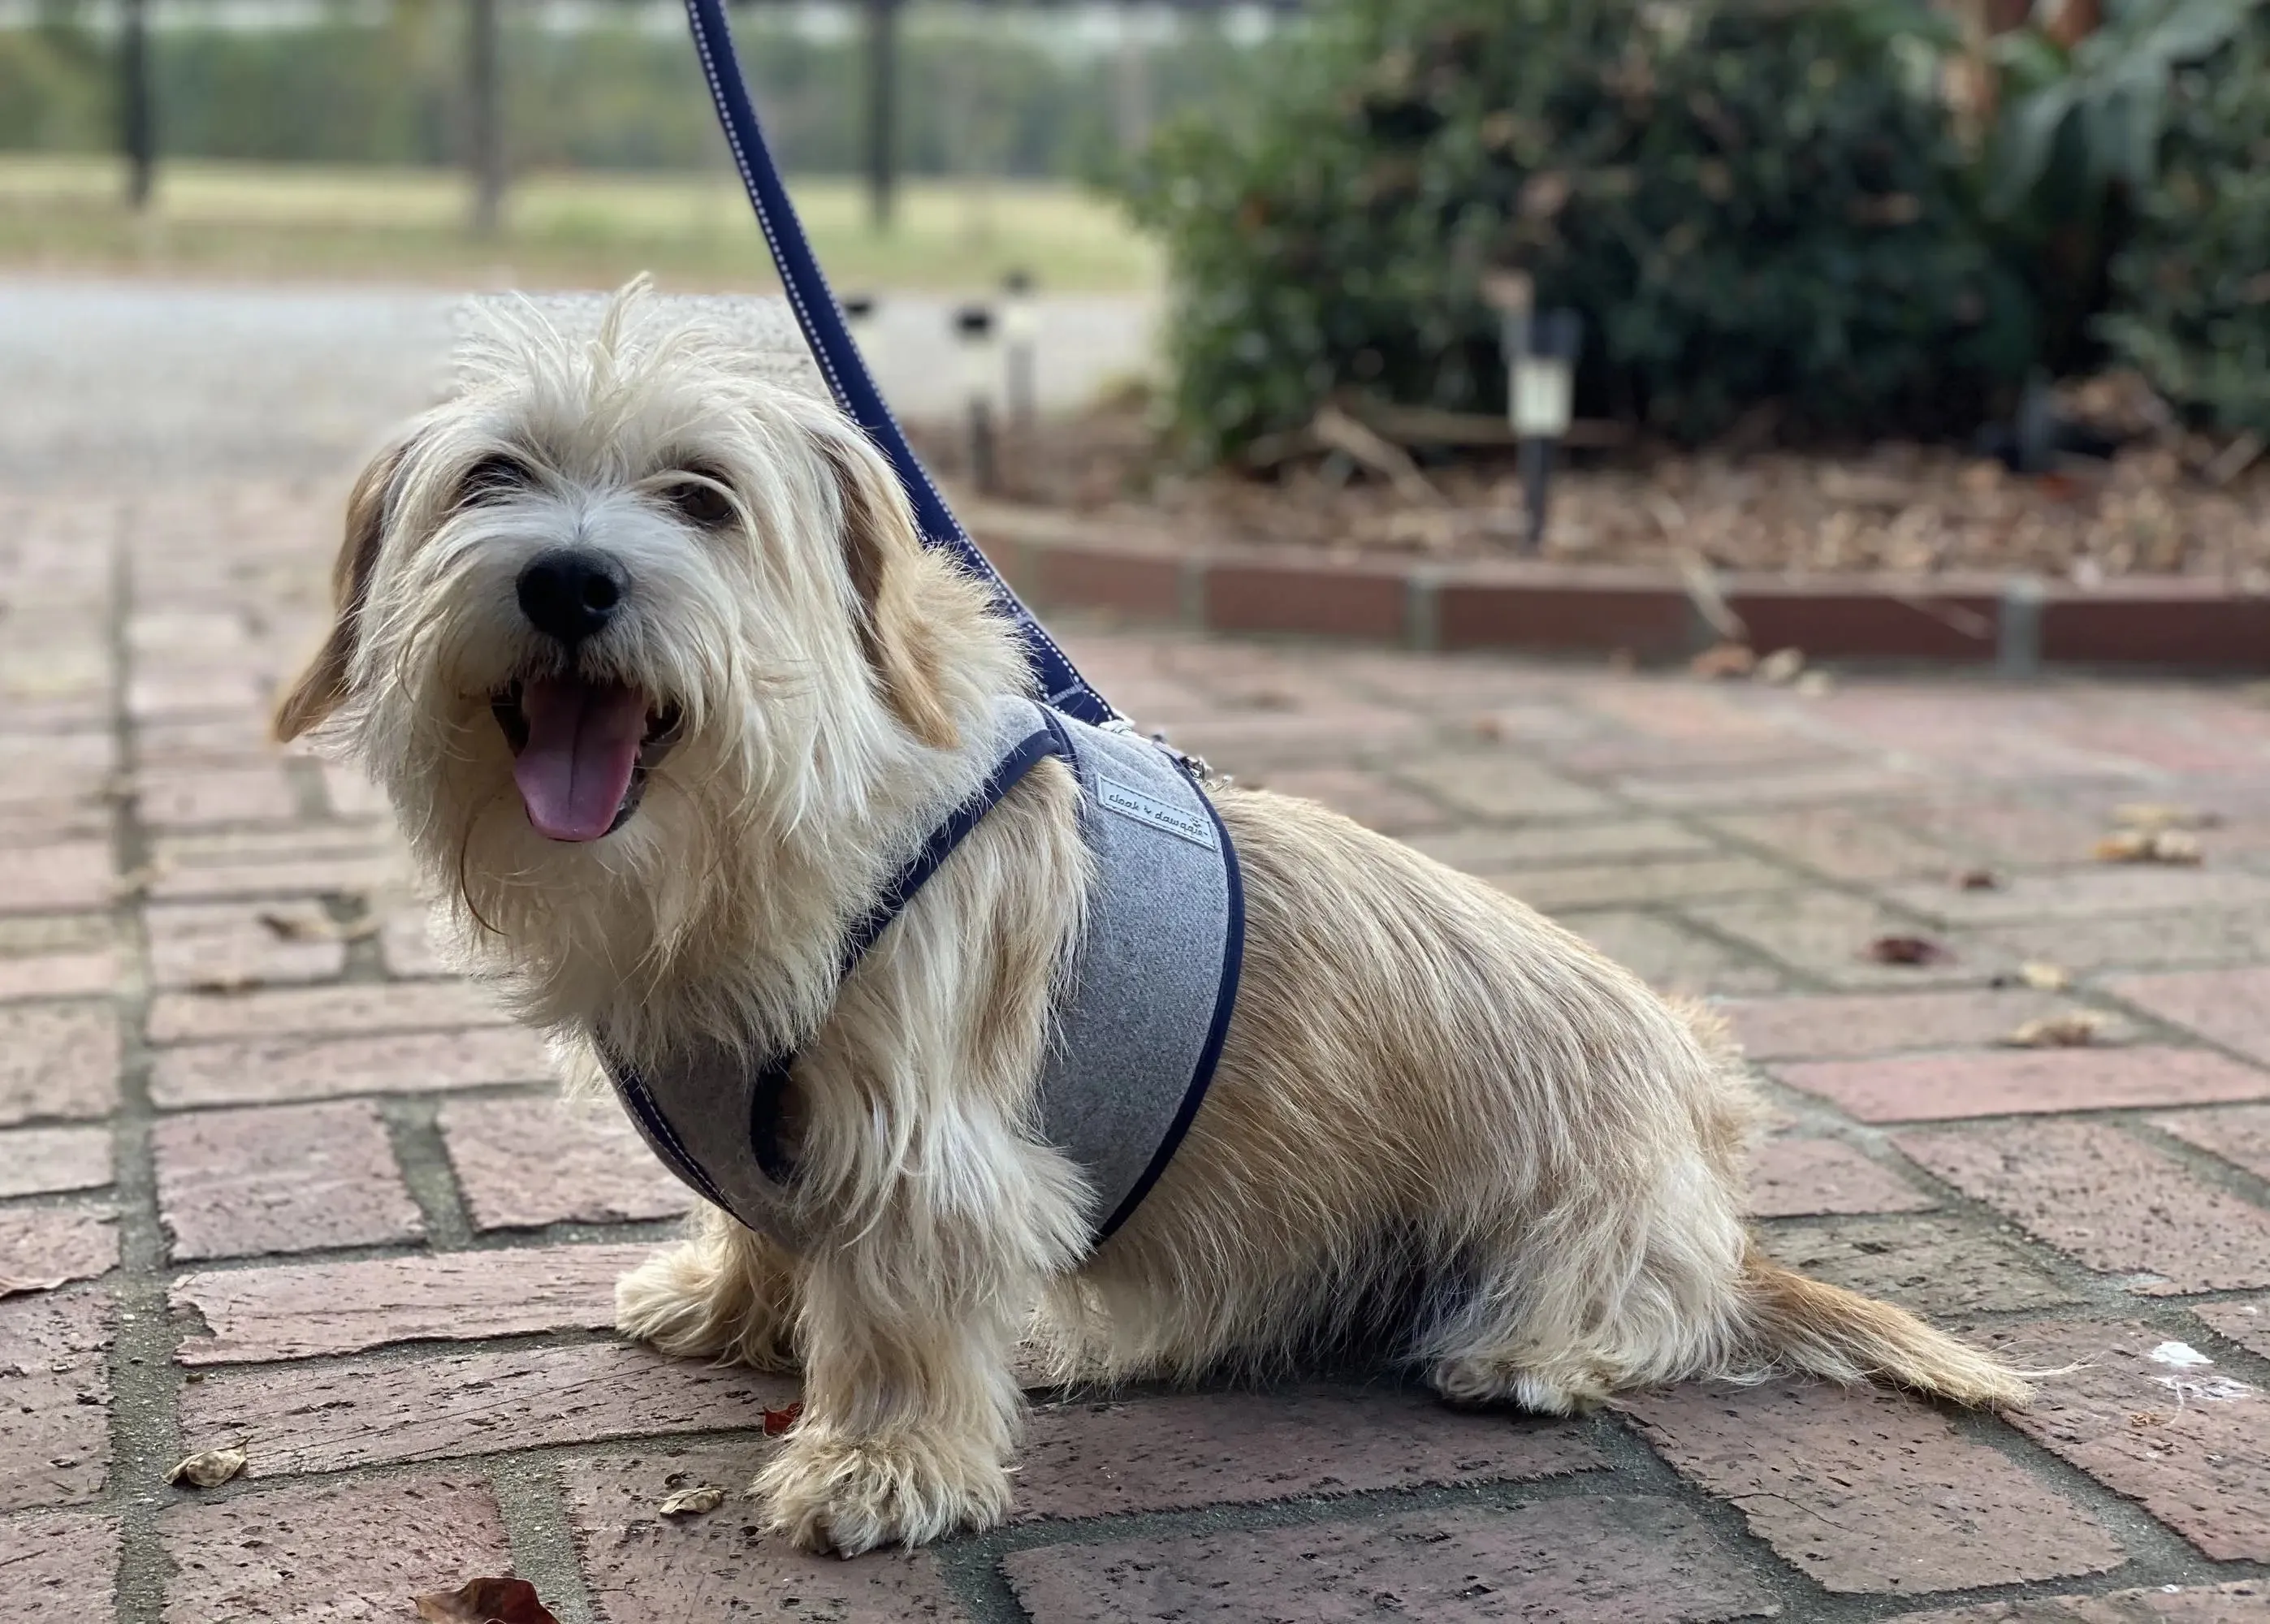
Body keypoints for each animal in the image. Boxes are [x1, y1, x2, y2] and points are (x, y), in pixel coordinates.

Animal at [275, 285, 2034, 1551]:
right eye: (493, 479)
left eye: (701, 498)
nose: (571, 581)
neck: (737, 845)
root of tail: (1712, 1186)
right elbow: (762, 1221)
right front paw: (725, 1299)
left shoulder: (930, 1150)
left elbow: (896, 1306)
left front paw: (878, 1468)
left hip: (1590, 1211)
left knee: (1662, 1312)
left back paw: (1526, 1349)